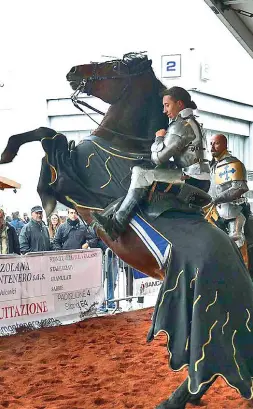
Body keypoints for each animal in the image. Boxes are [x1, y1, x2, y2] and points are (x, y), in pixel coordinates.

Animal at [1, 54, 253, 408]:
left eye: (116, 65)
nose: (74, 71)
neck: (118, 145)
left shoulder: (72, 182)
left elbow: (52, 139)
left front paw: (11, 156)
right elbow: (50, 136)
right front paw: (9, 152)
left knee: (212, 361)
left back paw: (175, 400)